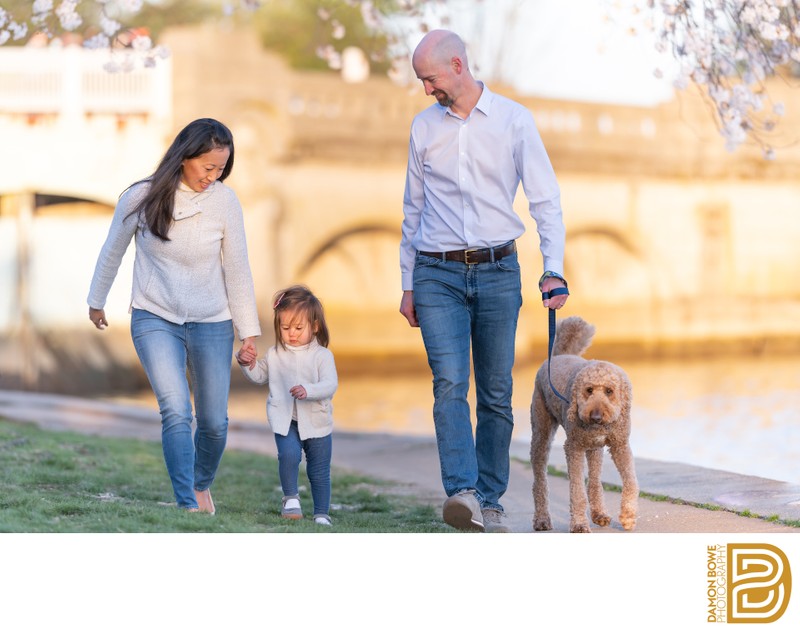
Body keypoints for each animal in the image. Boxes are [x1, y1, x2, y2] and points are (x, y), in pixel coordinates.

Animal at [532, 316, 636, 532]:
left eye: (609, 391)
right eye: (588, 390)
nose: (595, 416)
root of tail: (560, 355)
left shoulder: (620, 445)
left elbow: (631, 481)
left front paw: (628, 516)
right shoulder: (574, 447)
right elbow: (577, 490)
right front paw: (579, 524)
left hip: (595, 449)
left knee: (595, 481)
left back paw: (599, 514)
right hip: (541, 432)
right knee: (539, 480)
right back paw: (542, 519)